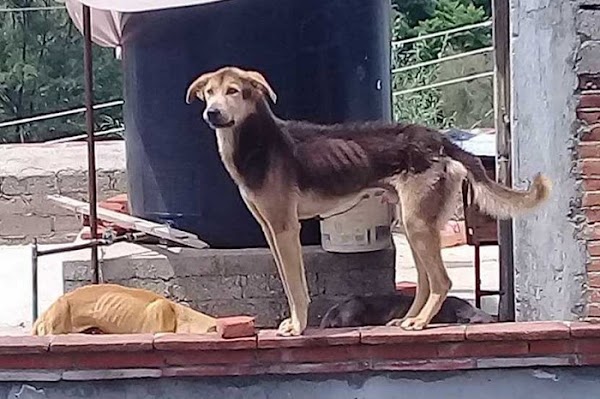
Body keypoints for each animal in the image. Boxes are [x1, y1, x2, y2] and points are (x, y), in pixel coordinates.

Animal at [185, 66, 552, 338]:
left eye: (233, 91)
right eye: (209, 92)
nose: (212, 114)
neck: (257, 142)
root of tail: (439, 140)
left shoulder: (286, 229)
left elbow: (296, 286)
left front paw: (299, 326)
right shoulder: (270, 231)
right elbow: (288, 284)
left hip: (418, 224)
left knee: (441, 281)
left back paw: (420, 322)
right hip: (413, 223)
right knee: (424, 282)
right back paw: (408, 319)